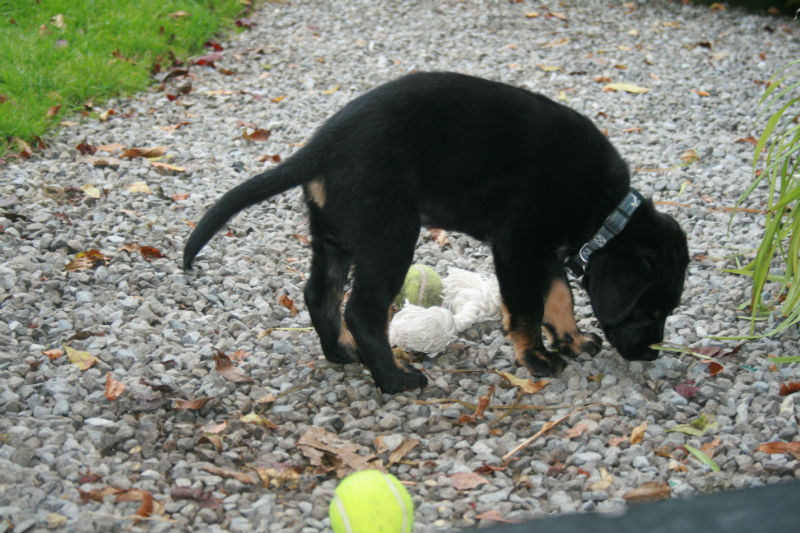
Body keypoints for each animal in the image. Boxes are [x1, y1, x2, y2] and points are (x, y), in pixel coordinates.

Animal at [184, 72, 692, 392]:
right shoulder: (518, 246)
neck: (606, 210)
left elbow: (559, 297)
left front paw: (573, 339)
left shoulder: (545, 251)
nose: (650, 355)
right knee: (362, 311)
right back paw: (393, 380)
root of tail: (319, 147)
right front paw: (537, 358)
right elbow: (528, 309)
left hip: (337, 239)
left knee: (319, 296)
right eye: (647, 312)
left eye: (667, 311)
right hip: (390, 238)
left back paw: (342, 353)